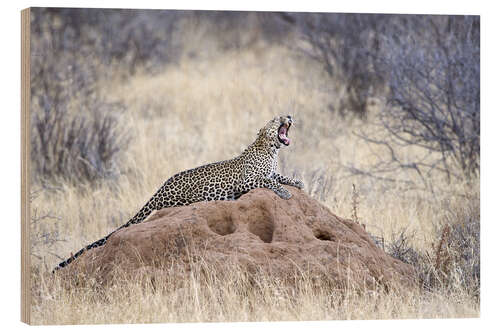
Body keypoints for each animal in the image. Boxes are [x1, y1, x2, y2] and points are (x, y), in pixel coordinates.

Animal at [54, 115, 304, 272]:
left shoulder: (270, 172)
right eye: (275, 119)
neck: (271, 150)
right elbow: (269, 180)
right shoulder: (248, 180)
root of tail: (162, 187)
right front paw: (286, 193)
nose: (289, 116)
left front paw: (297, 182)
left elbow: (279, 176)